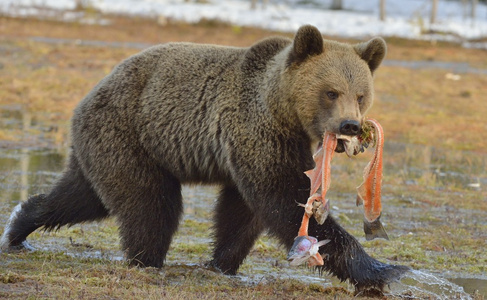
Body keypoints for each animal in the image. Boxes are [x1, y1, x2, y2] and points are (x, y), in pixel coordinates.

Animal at [0, 24, 408, 292]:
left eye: (360, 94)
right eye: (330, 91)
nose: (350, 125)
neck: (282, 111)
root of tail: (89, 94)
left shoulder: (254, 150)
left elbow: (243, 212)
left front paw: (221, 262)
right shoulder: (256, 131)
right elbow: (283, 200)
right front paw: (383, 269)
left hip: (103, 146)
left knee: (81, 196)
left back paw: (20, 225)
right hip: (130, 135)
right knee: (150, 205)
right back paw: (146, 260)